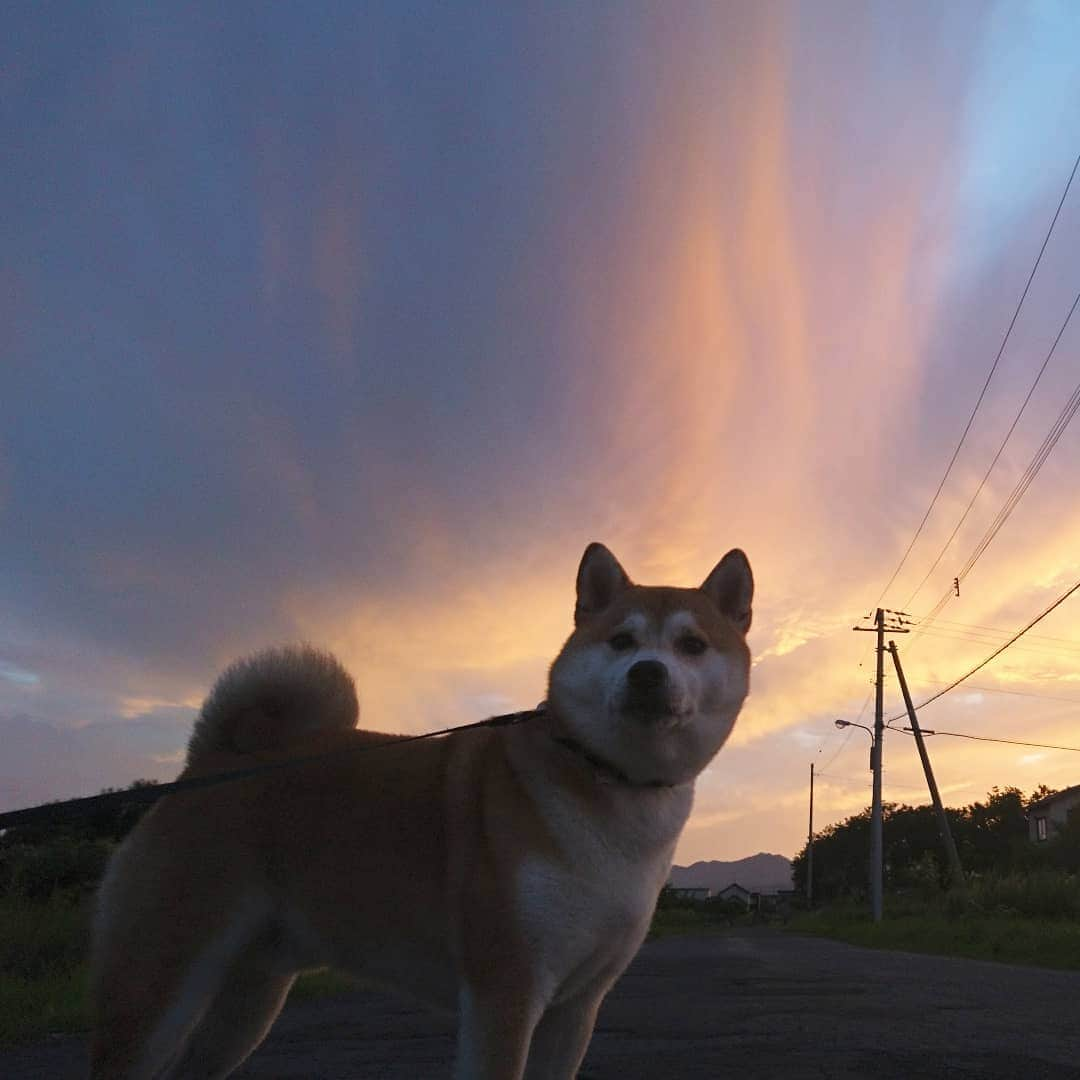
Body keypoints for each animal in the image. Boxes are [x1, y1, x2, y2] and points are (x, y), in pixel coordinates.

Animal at [90, 544, 751, 1075]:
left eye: (692, 645)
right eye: (621, 641)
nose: (647, 673)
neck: (608, 779)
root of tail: (215, 757)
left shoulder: (578, 1008)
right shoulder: (505, 992)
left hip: (249, 999)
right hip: (160, 978)